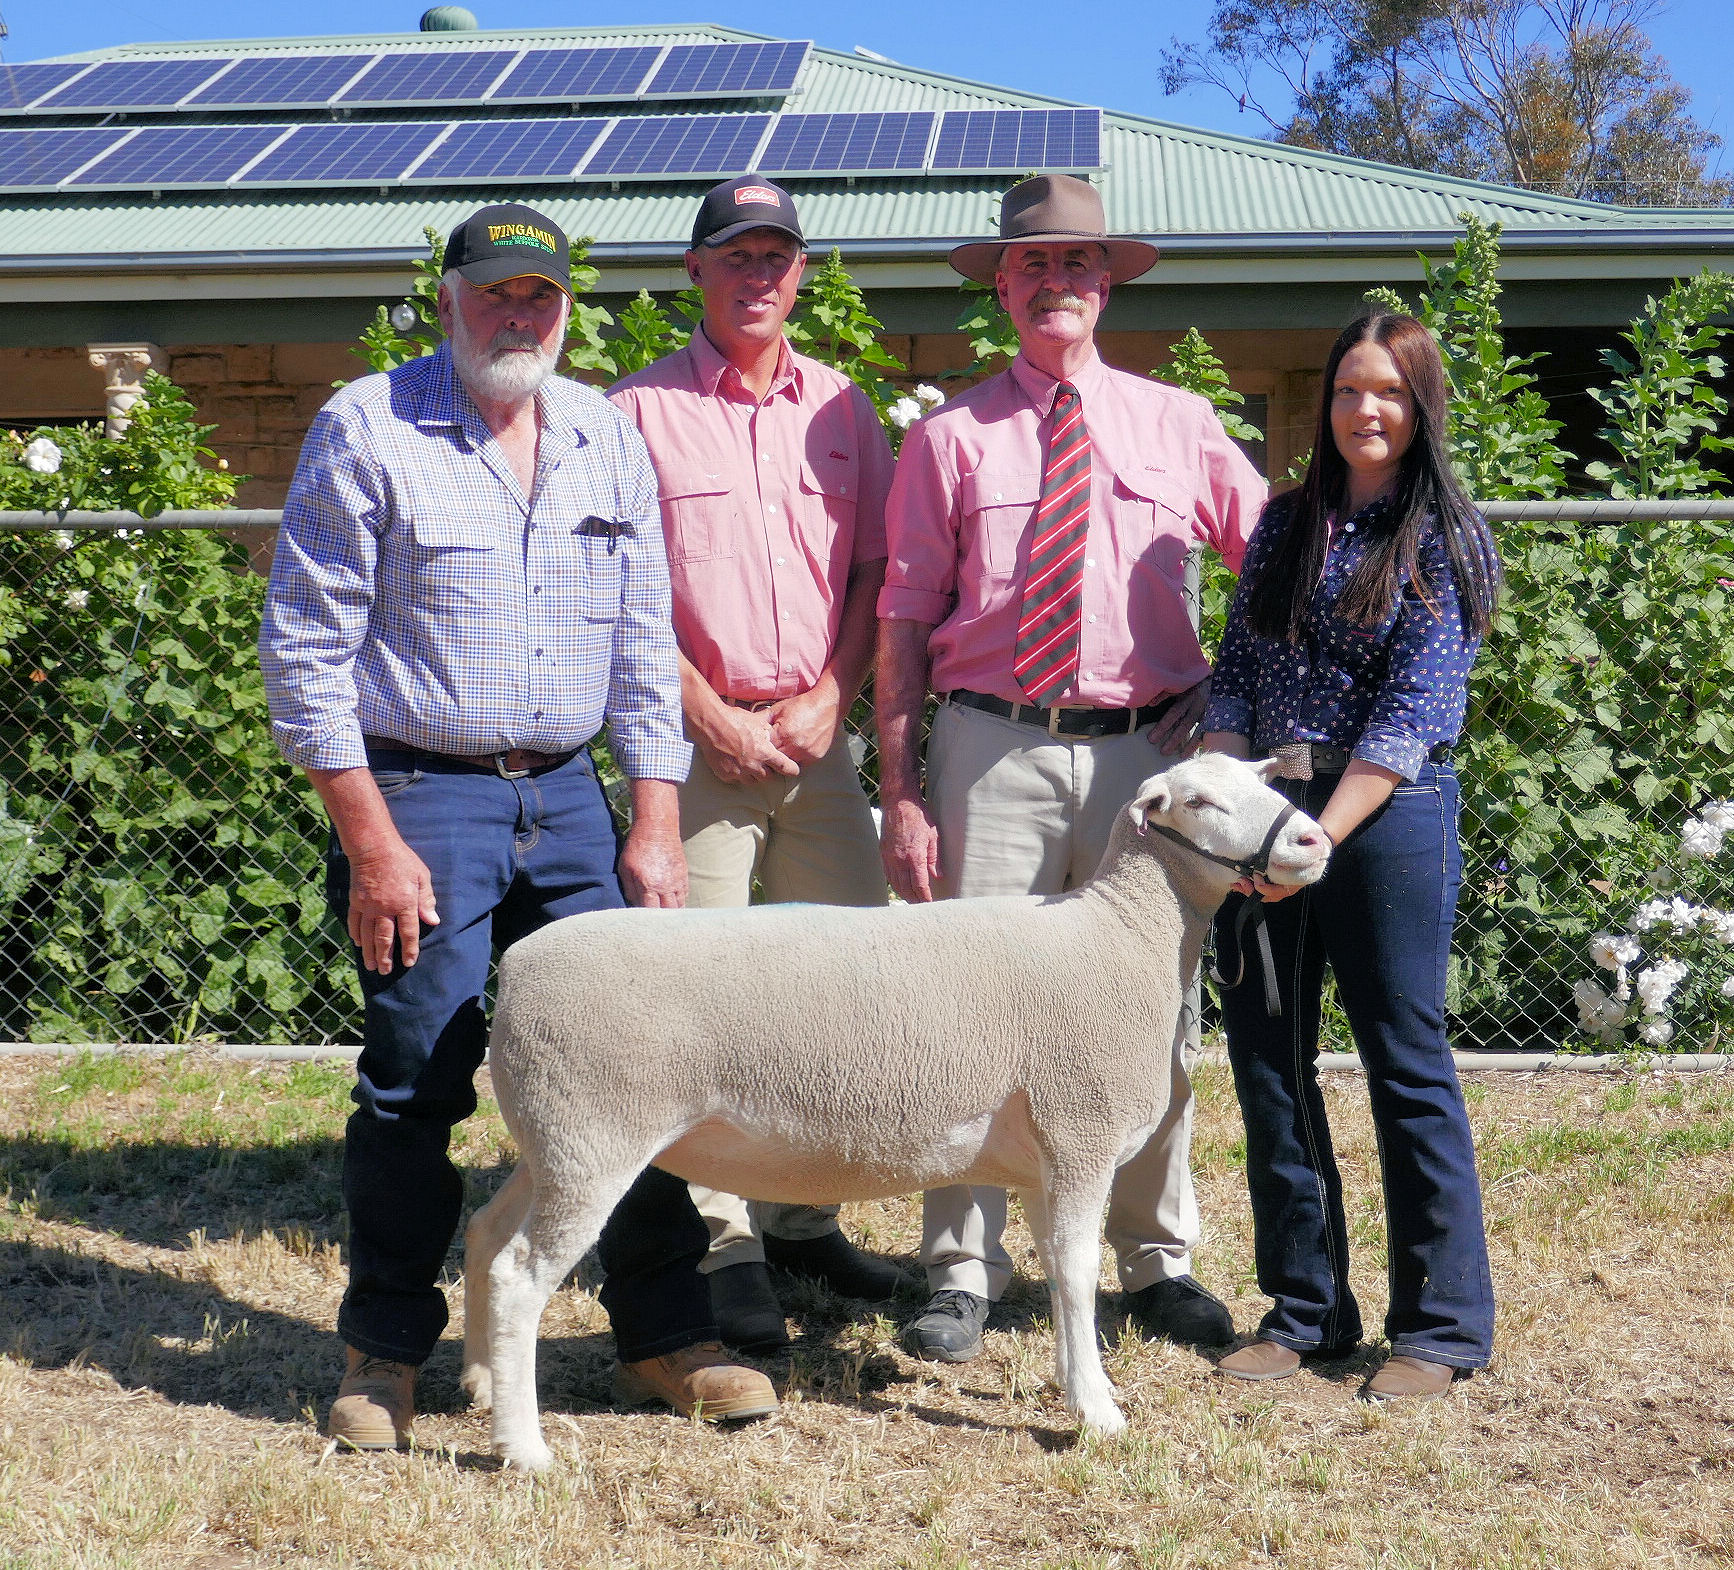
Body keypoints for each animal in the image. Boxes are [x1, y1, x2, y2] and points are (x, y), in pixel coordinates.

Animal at [457, 752, 1324, 1464]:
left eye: (1264, 779)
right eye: (1200, 801)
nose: (1313, 840)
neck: (1120, 936)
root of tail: (518, 970)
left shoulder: (1045, 1157)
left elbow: (1056, 1273)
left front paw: (1074, 1385)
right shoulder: (1082, 1132)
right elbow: (1079, 1275)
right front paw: (1097, 1413)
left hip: (551, 1140)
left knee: (485, 1236)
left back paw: (478, 1383)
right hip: (593, 1138)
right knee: (520, 1275)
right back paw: (521, 1446)